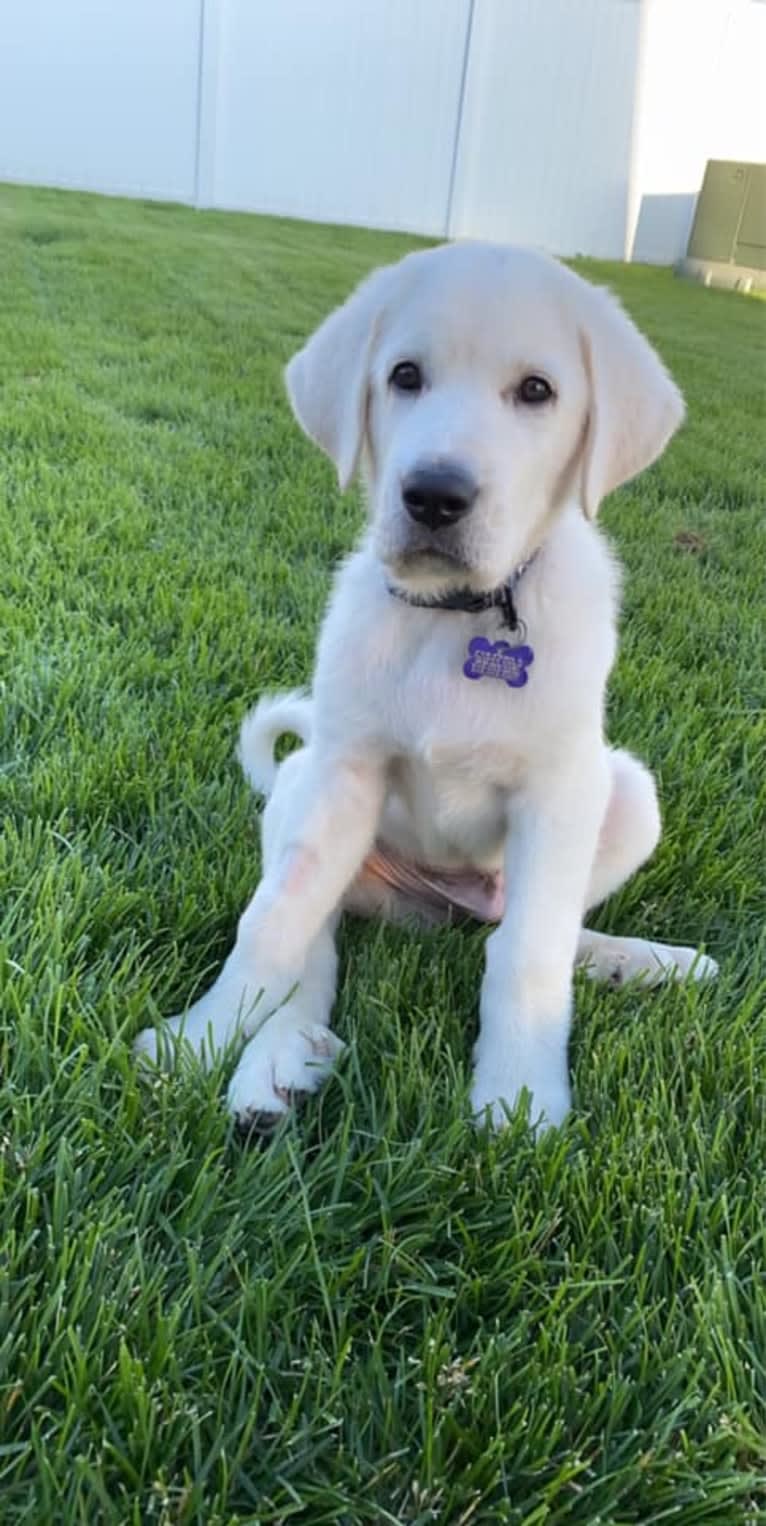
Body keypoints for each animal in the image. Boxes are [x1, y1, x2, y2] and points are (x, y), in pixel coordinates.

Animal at [134, 244, 714, 1135]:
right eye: (404, 376)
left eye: (537, 390)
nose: (435, 495)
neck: (458, 615)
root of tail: (439, 906)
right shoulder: (343, 773)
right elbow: (275, 925)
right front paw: (198, 1040)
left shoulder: (559, 794)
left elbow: (531, 954)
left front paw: (518, 1097)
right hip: (303, 784)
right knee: (321, 941)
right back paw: (282, 1062)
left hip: (625, 792)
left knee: (522, 929)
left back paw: (640, 961)